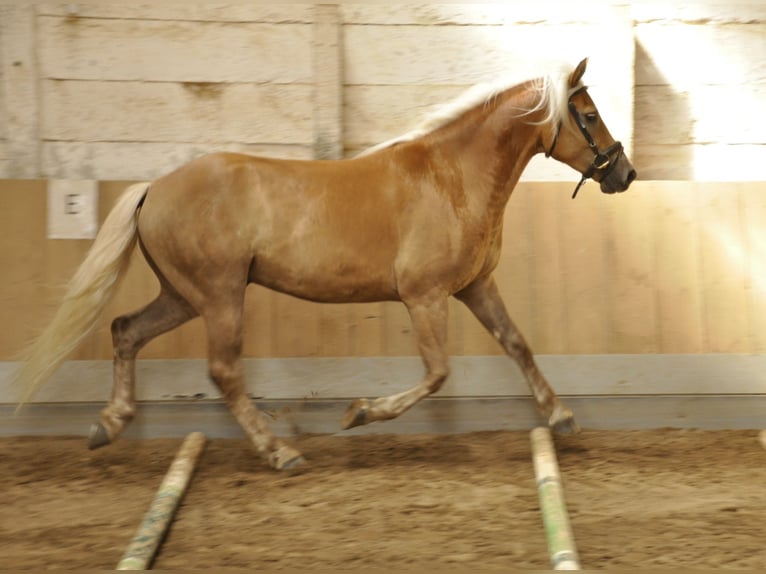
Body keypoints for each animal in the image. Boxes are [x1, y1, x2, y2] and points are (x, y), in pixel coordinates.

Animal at [12, 58, 636, 472]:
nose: (623, 174)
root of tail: (155, 187)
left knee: (125, 331)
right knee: (224, 371)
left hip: (183, 295)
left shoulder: (475, 287)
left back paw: (108, 424)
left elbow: (517, 345)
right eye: (587, 114)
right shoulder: (425, 296)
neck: (452, 176)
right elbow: (437, 373)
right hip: (219, 296)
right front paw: (359, 413)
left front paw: (561, 417)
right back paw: (280, 452)